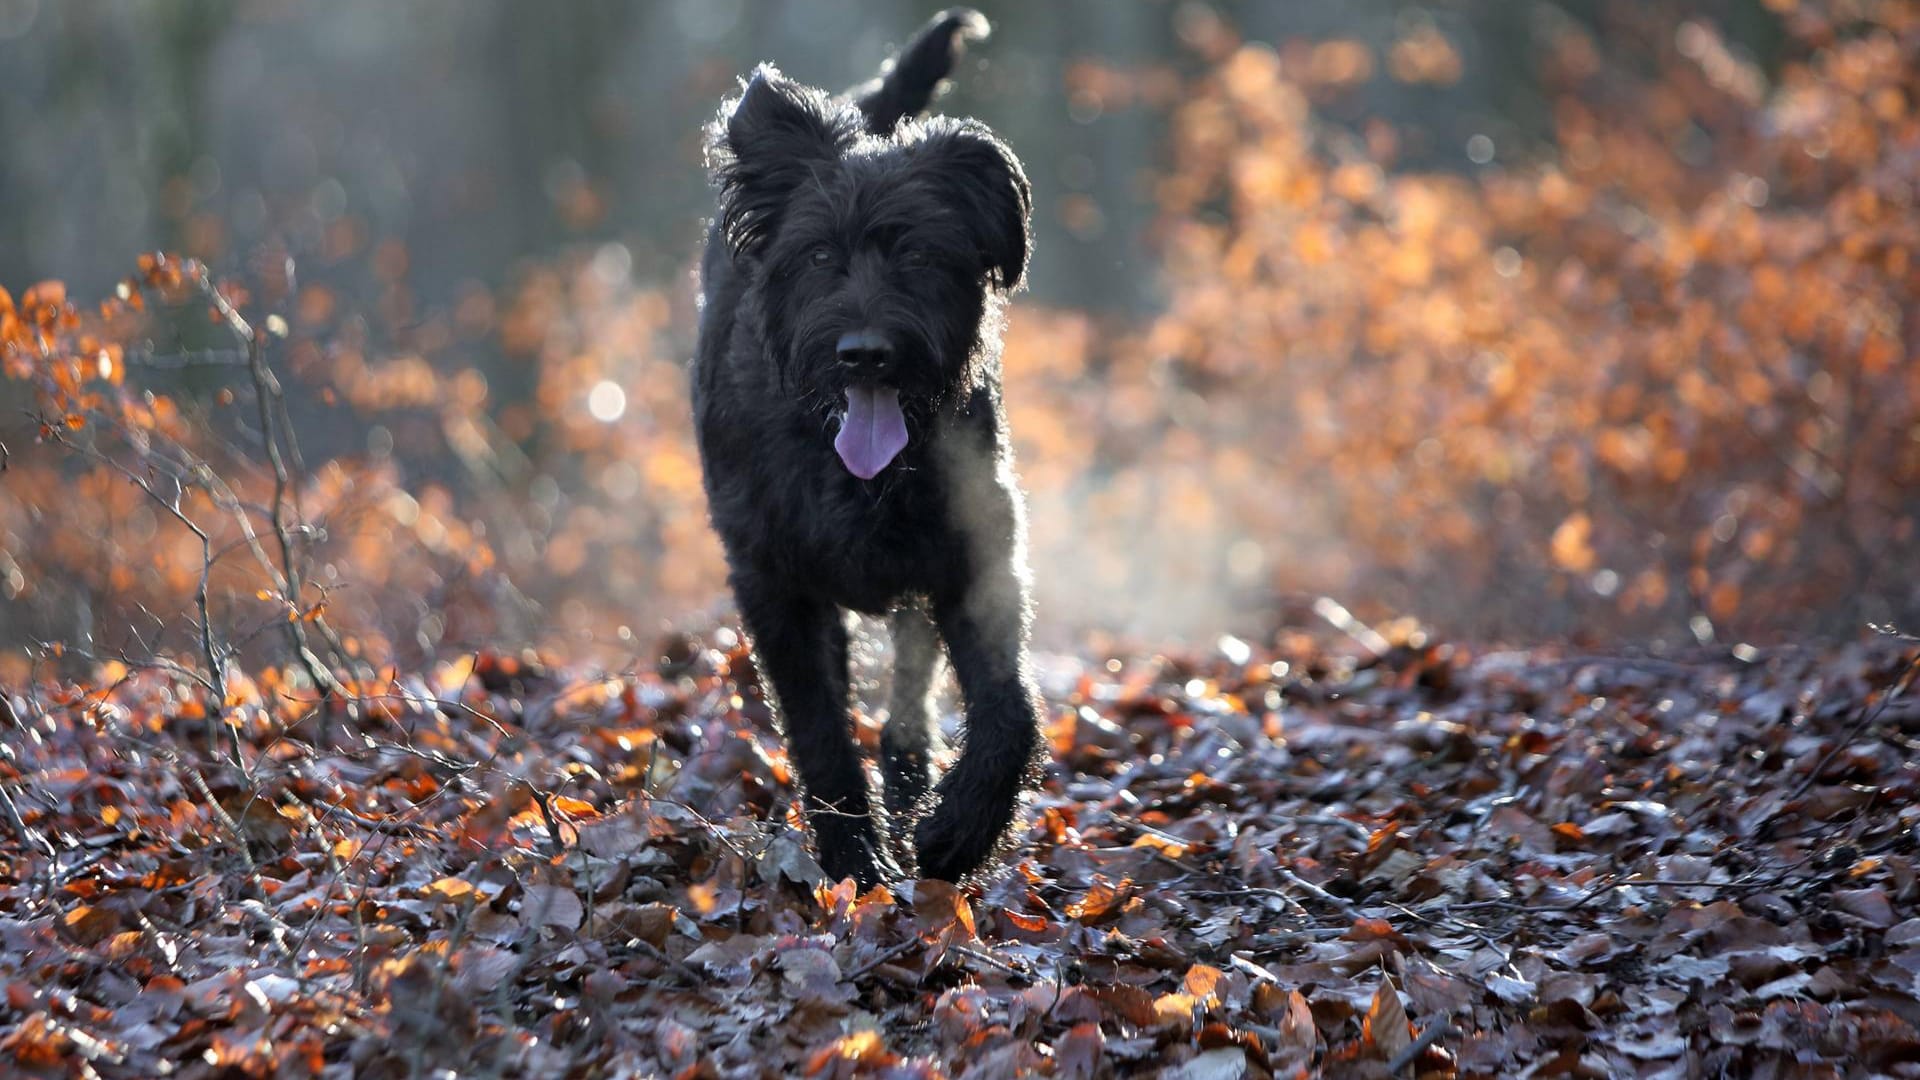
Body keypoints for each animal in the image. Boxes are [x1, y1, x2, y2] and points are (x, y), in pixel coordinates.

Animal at [698, 8, 1044, 883]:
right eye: (820, 254)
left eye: (918, 253)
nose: (865, 354)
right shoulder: (776, 586)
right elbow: (818, 728)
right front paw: (854, 858)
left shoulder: (976, 554)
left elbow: (1009, 707)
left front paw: (960, 829)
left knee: (914, 676)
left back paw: (913, 773)